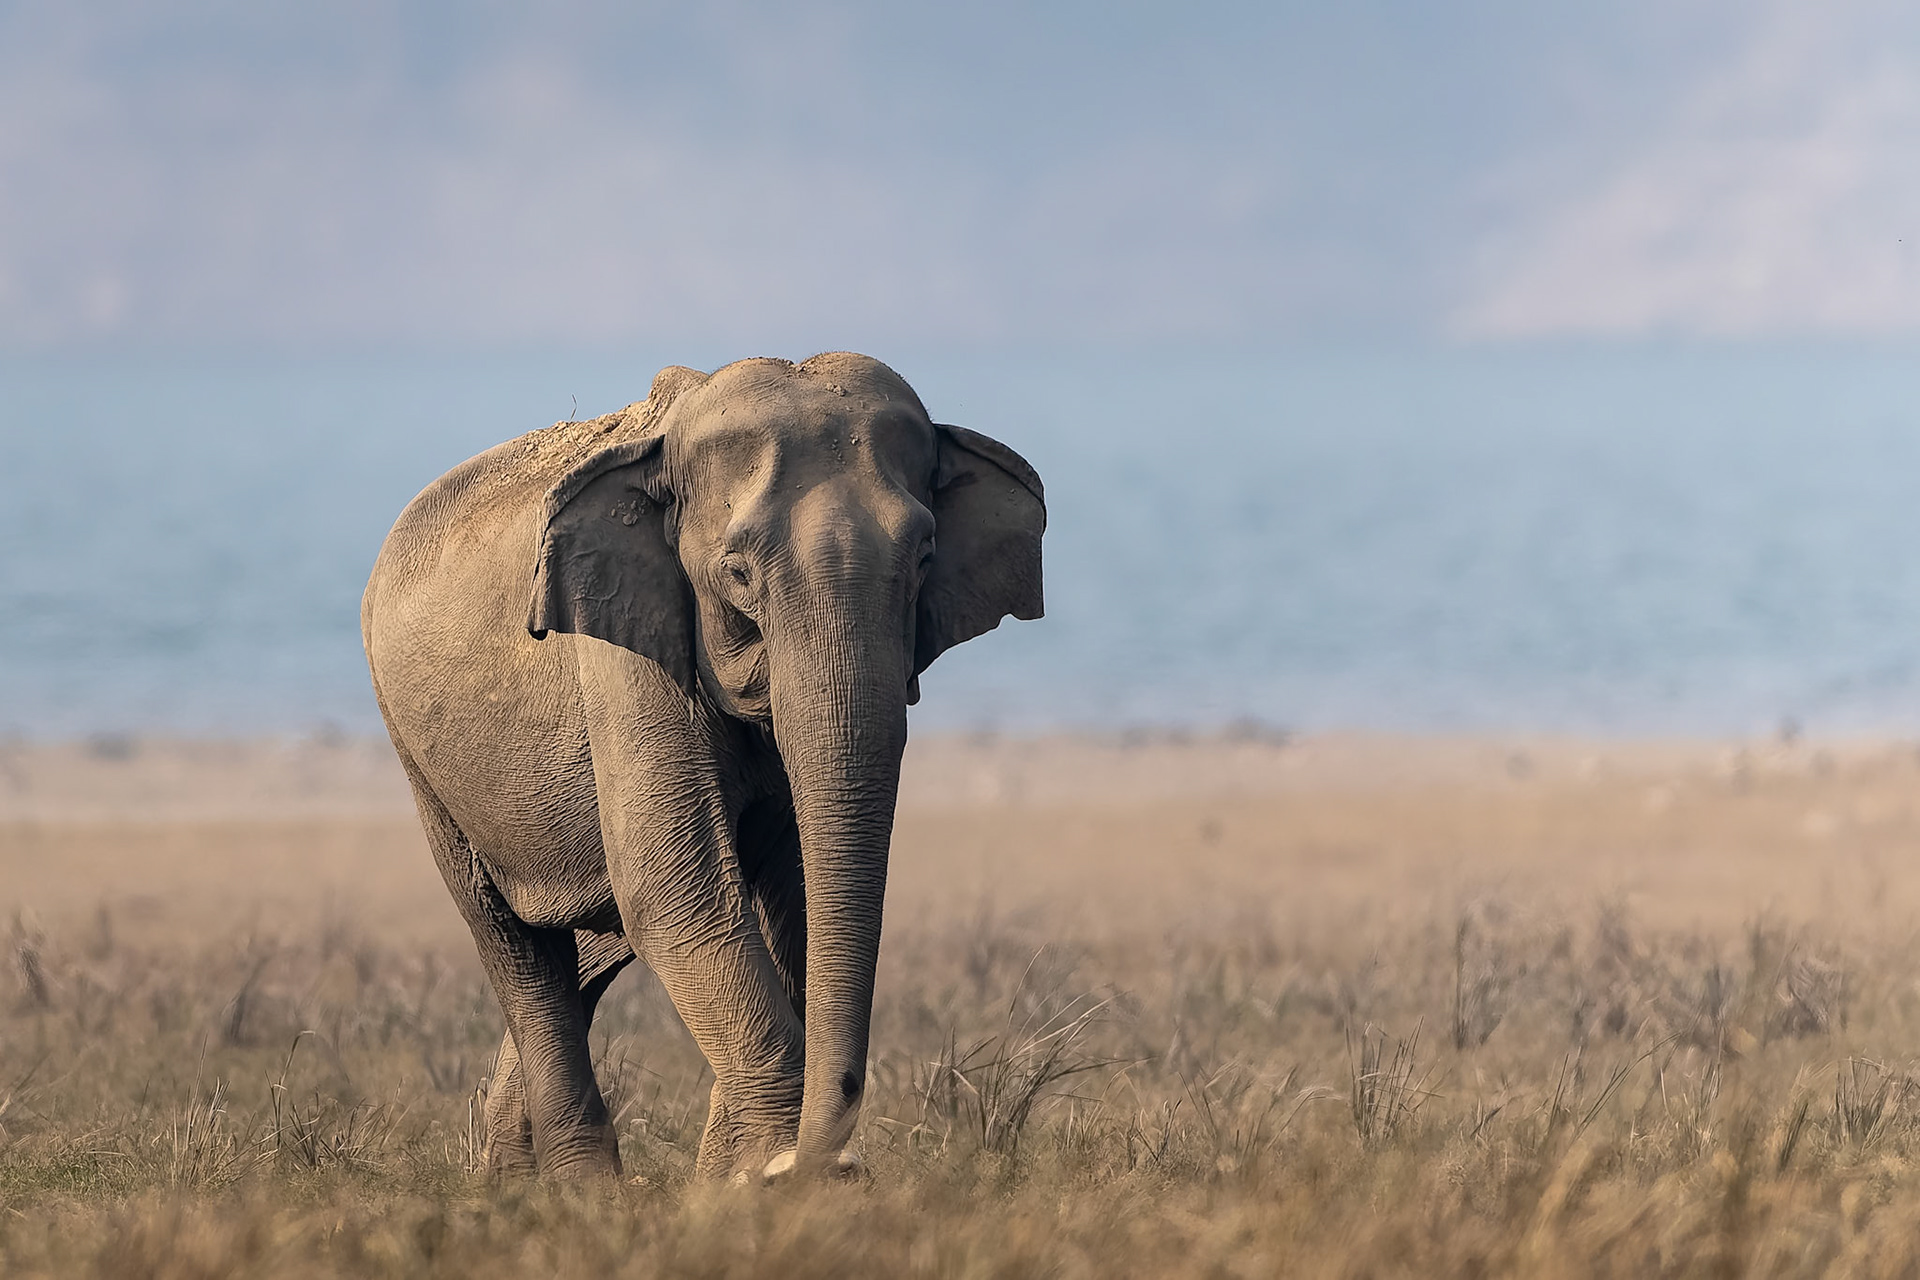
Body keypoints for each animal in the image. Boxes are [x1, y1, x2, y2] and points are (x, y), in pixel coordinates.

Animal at [361, 352, 1045, 1181]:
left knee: (594, 948)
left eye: (924, 558)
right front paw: (771, 1175)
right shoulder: (623, 646)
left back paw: (514, 1182)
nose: (835, 1164)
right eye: (738, 573)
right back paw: (577, 1192)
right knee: (515, 941)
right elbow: (676, 890)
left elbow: (791, 891)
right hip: (417, 755)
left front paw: (737, 1180)